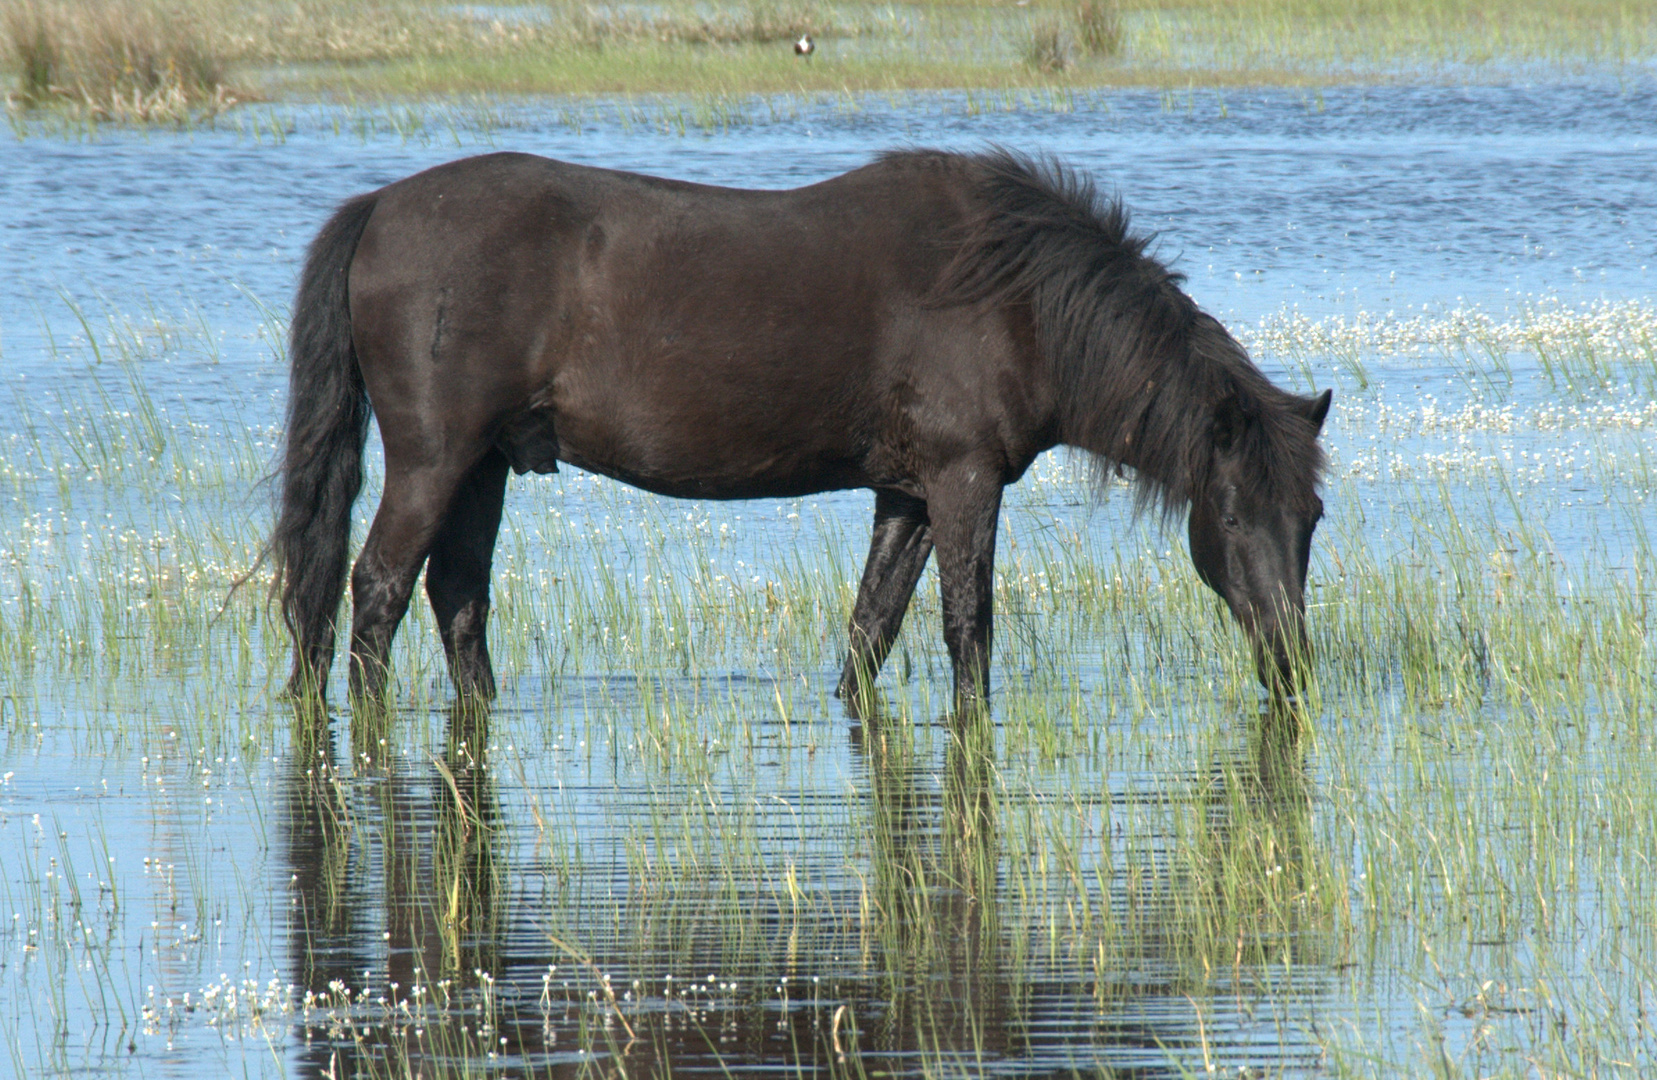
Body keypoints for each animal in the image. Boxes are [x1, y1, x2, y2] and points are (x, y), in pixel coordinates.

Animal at [271, 147, 1332, 712]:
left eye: (1311, 520)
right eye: (1228, 517)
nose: (1292, 664)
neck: (1015, 299)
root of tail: (380, 208)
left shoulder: (907, 491)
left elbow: (871, 628)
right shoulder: (963, 481)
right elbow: (968, 627)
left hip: (485, 466)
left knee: (457, 599)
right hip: (431, 460)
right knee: (375, 593)